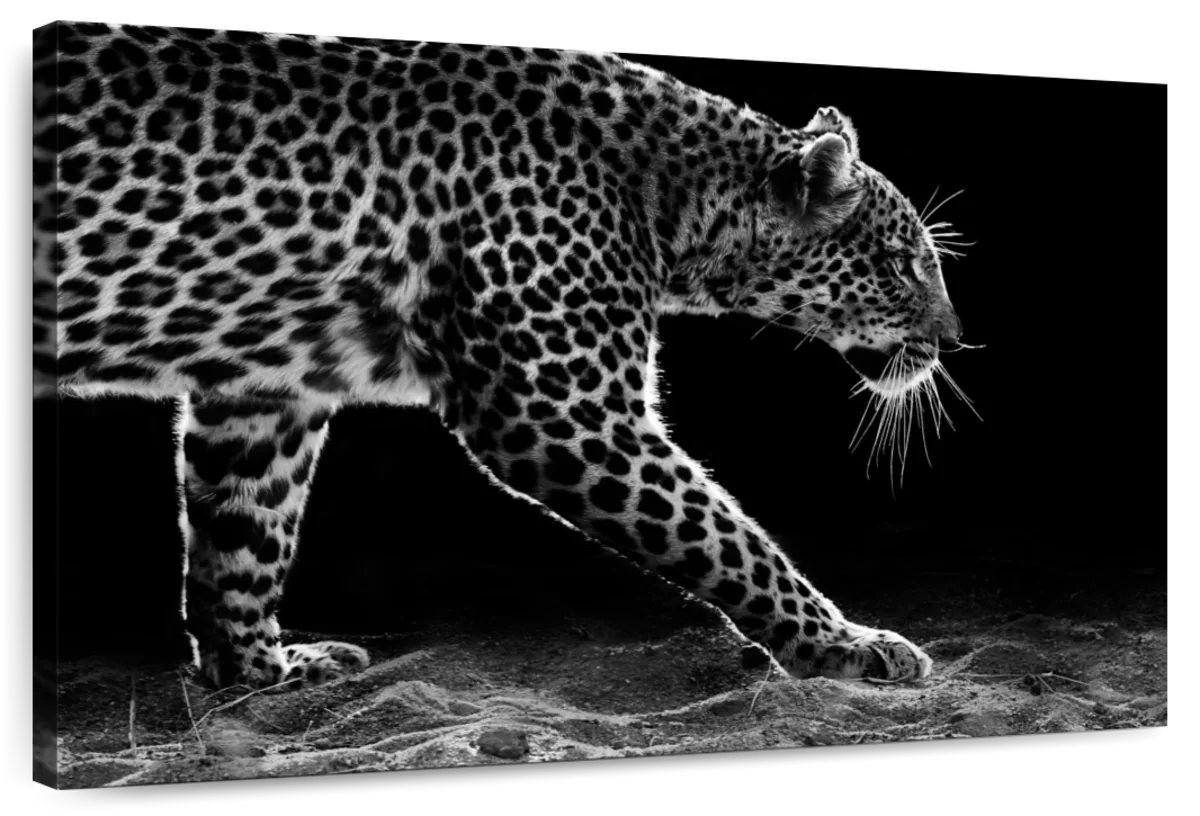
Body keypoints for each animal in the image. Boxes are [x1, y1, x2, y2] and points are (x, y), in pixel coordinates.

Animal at [33, 22, 967, 692]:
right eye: (904, 263)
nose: (954, 339)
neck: (678, 200)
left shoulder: (263, 390)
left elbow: (243, 533)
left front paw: (259, 672)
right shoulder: (564, 410)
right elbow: (729, 539)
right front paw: (844, 646)